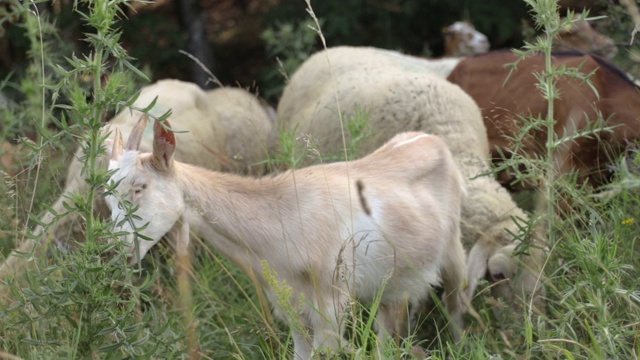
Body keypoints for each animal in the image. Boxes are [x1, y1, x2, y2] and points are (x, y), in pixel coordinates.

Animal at [105, 116, 464, 358]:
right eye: (106, 197)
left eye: (140, 187)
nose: (113, 251)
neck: (283, 223)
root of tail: (430, 139)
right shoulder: (293, 310)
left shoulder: (331, 307)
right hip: (392, 285)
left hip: (455, 251)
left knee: (456, 306)